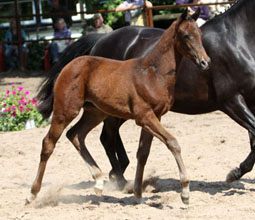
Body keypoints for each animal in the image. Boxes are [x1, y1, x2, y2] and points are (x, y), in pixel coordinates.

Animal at [27, 8, 211, 205]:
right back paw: (32, 193)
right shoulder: (144, 116)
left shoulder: (155, 116)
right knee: (49, 143)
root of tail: (69, 65)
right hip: (66, 110)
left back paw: (99, 181)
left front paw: (138, 194)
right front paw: (185, 192)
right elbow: (173, 142)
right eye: (186, 36)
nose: (205, 62)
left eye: (199, 35)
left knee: (75, 134)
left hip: (95, 113)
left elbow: (143, 153)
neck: (153, 73)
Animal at [36, 0, 255, 192]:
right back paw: (120, 179)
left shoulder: (249, 101)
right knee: (106, 137)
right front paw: (234, 173)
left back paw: (118, 173)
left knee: (105, 136)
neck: (237, 40)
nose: (204, 62)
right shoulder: (231, 101)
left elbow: (253, 138)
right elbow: (254, 134)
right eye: (186, 36)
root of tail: (100, 41)